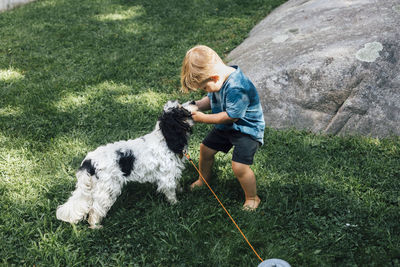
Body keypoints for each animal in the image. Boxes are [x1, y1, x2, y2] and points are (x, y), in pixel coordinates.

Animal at [57, 100, 198, 228]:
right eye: (181, 109)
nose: (193, 101)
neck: (166, 139)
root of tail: (88, 162)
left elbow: (177, 184)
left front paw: (181, 191)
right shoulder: (166, 177)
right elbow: (171, 192)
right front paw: (176, 204)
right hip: (107, 190)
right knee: (95, 210)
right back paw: (96, 226)